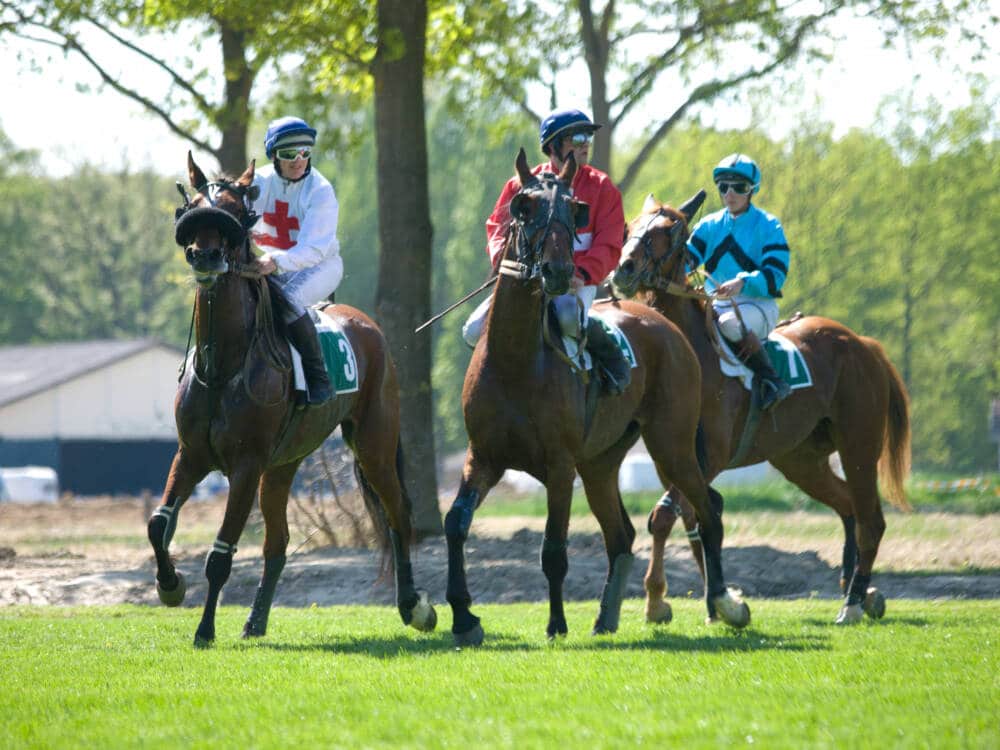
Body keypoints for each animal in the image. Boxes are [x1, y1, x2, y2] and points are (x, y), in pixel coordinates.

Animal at [146, 151, 436, 648]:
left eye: (234, 211)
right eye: (194, 208)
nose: (206, 255)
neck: (225, 367)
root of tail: (367, 325)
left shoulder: (245, 465)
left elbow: (220, 555)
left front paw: (204, 629)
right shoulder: (192, 455)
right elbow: (158, 524)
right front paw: (170, 585)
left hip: (373, 446)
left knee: (398, 514)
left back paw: (414, 606)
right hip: (283, 465)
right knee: (277, 543)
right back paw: (255, 621)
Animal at [446, 151, 752, 648]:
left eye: (575, 210)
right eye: (523, 206)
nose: (556, 272)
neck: (515, 361)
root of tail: (668, 326)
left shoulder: (558, 466)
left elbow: (553, 548)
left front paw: (556, 624)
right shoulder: (483, 457)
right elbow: (455, 525)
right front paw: (463, 617)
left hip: (671, 444)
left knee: (707, 512)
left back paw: (725, 604)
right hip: (601, 463)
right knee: (621, 533)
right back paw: (608, 616)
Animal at [608, 191, 916, 624]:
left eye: (669, 231)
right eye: (632, 226)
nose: (625, 269)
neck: (692, 355)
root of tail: (863, 343)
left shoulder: (710, 456)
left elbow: (667, 516)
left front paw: (658, 600)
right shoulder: (673, 458)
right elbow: (697, 516)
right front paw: (719, 602)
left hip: (859, 446)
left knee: (871, 519)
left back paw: (854, 602)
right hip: (800, 459)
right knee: (848, 507)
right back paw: (859, 589)